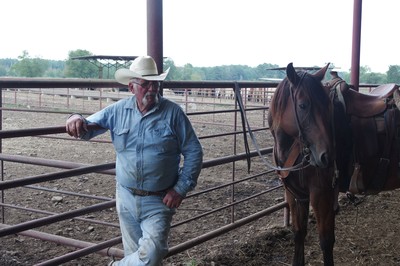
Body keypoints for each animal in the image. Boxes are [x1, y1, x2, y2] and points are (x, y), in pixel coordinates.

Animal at [268, 61, 336, 264]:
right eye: (303, 105)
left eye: (328, 104)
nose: (327, 157)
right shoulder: (296, 195)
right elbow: (299, 233)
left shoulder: (321, 194)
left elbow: (326, 241)